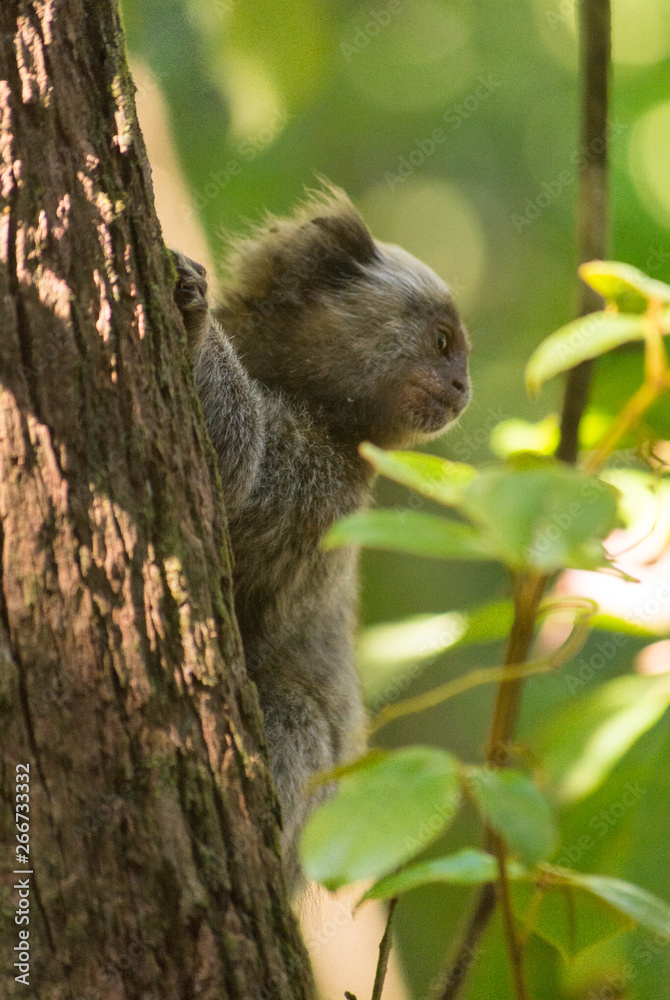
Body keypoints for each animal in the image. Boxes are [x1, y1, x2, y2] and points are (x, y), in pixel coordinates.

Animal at [172, 187, 471, 890]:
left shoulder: (325, 489)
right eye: (443, 342)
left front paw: (197, 330)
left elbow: (237, 472)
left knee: (294, 713)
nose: (463, 386)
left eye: (458, 351)